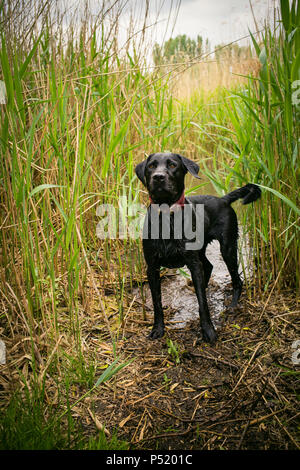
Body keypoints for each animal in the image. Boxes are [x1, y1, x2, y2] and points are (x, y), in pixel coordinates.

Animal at [136, 152, 260, 344]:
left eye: (172, 165)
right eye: (151, 166)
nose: (158, 177)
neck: (168, 217)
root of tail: (223, 199)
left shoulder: (193, 263)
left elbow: (203, 303)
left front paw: (208, 331)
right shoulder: (152, 267)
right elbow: (157, 303)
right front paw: (157, 329)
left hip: (228, 248)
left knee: (237, 280)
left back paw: (232, 305)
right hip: (202, 251)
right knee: (208, 267)